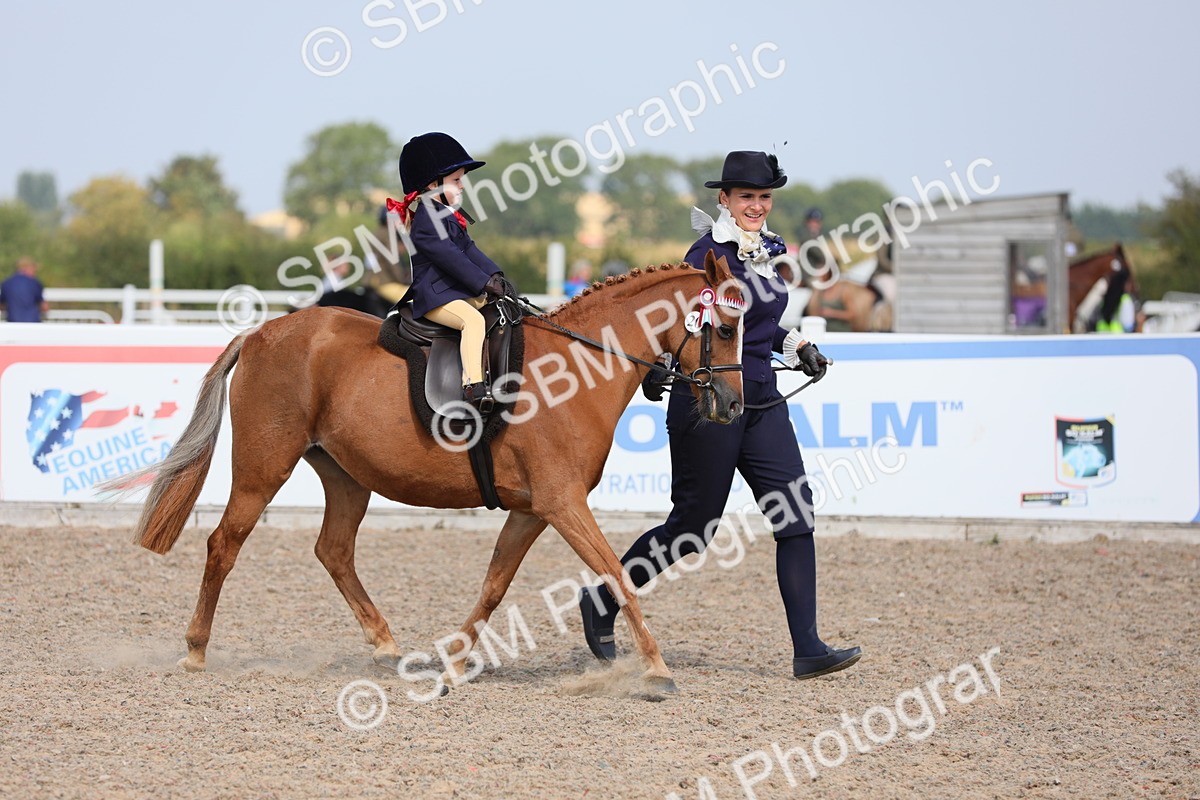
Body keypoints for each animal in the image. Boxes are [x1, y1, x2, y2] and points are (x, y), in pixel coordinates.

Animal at [103, 253, 745, 695]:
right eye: (727, 328)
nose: (733, 407)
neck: (579, 367)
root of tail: (261, 332)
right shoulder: (562, 504)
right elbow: (615, 572)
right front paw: (657, 669)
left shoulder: (532, 510)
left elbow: (494, 585)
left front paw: (456, 664)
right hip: (265, 468)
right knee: (224, 544)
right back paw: (195, 651)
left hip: (345, 476)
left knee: (333, 550)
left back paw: (386, 646)